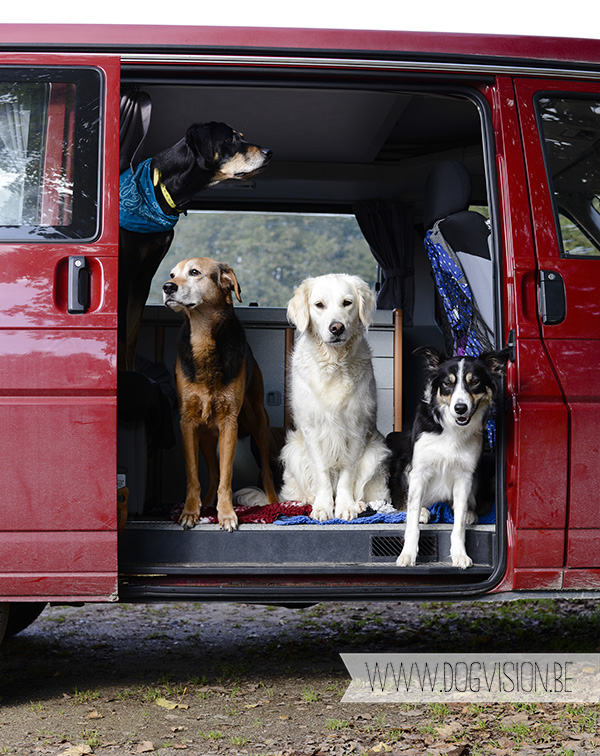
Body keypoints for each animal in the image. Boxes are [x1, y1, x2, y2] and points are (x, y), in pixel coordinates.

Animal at [119, 121, 272, 372]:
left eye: (241, 136)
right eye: (229, 139)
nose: (270, 152)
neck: (160, 189)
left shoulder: (143, 276)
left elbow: (131, 335)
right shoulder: (123, 271)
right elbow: (121, 334)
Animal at [163, 256, 278, 528]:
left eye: (194, 272)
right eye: (172, 274)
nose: (167, 287)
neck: (203, 336)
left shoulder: (229, 423)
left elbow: (227, 476)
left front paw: (226, 514)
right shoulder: (188, 422)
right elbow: (195, 475)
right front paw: (191, 512)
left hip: (260, 424)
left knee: (266, 471)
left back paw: (273, 503)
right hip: (205, 436)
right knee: (213, 473)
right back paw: (205, 504)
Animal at [280, 274, 392, 524]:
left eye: (347, 303)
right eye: (319, 305)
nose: (337, 328)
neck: (334, 363)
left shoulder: (357, 428)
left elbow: (347, 474)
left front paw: (345, 506)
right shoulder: (312, 429)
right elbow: (321, 472)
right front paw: (323, 507)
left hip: (376, 452)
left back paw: (360, 504)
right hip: (293, 450)